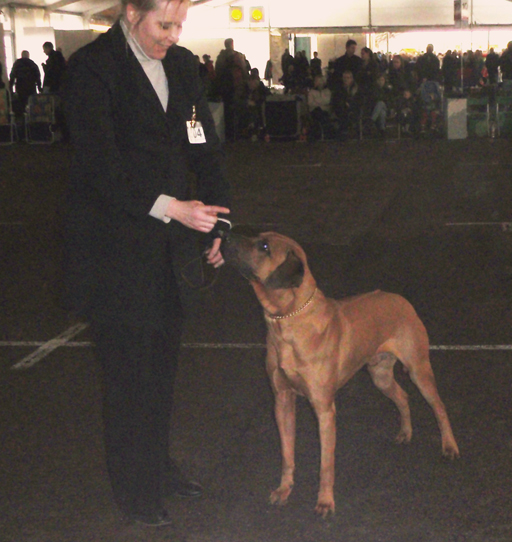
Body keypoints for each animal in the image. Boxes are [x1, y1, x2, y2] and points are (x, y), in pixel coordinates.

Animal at [223, 233, 460, 520]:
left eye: (264, 247)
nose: (224, 235)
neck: (288, 320)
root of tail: (401, 299)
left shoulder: (324, 409)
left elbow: (326, 464)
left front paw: (325, 502)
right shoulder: (282, 401)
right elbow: (287, 454)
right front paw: (284, 489)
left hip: (419, 369)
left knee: (439, 406)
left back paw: (449, 446)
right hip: (379, 374)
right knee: (402, 396)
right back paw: (405, 432)